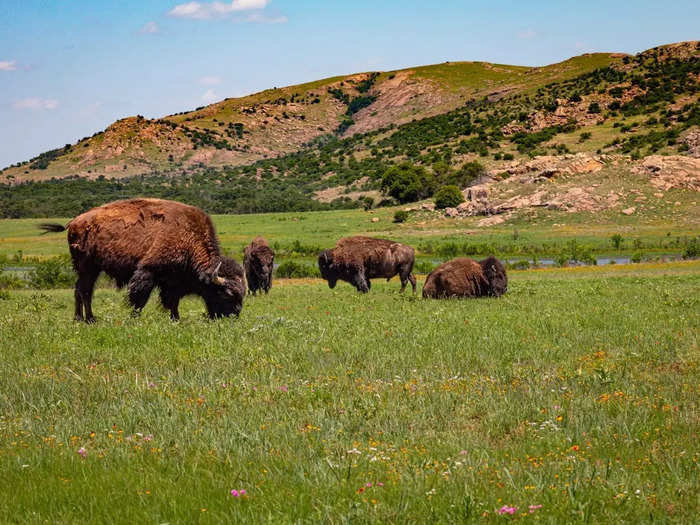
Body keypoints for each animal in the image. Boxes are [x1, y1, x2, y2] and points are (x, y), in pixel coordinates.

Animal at [39, 196, 246, 322]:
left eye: (242, 293)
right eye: (227, 294)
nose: (234, 315)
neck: (189, 237)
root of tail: (74, 221)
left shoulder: (174, 282)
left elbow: (173, 302)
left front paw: (175, 319)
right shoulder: (148, 271)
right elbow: (139, 298)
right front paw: (134, 319)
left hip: (90, 269)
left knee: (79, 290)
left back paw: (81, 319)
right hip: (87, 267)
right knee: (84, 291)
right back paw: (89, 319)